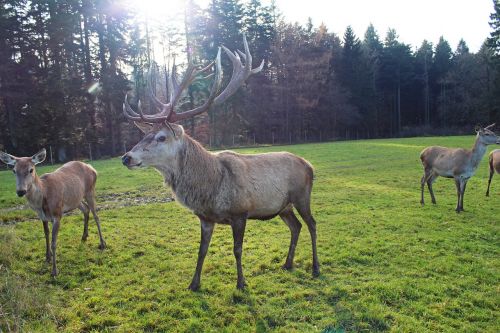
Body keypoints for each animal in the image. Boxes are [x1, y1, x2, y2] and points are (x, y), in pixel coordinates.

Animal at [119, 35, 318, 288]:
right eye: (143, 135)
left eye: (161, 137)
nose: (126, 157)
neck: (210, 189)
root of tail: (309, 165)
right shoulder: (205, 218)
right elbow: (201, 251)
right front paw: (194, 284)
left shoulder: (240, 212)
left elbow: (237, 249)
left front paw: (241, 283)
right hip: (283, 206)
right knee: (296, 226)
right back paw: (288, 263)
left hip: (302, 195)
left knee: (312, 224)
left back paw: (315, 267)